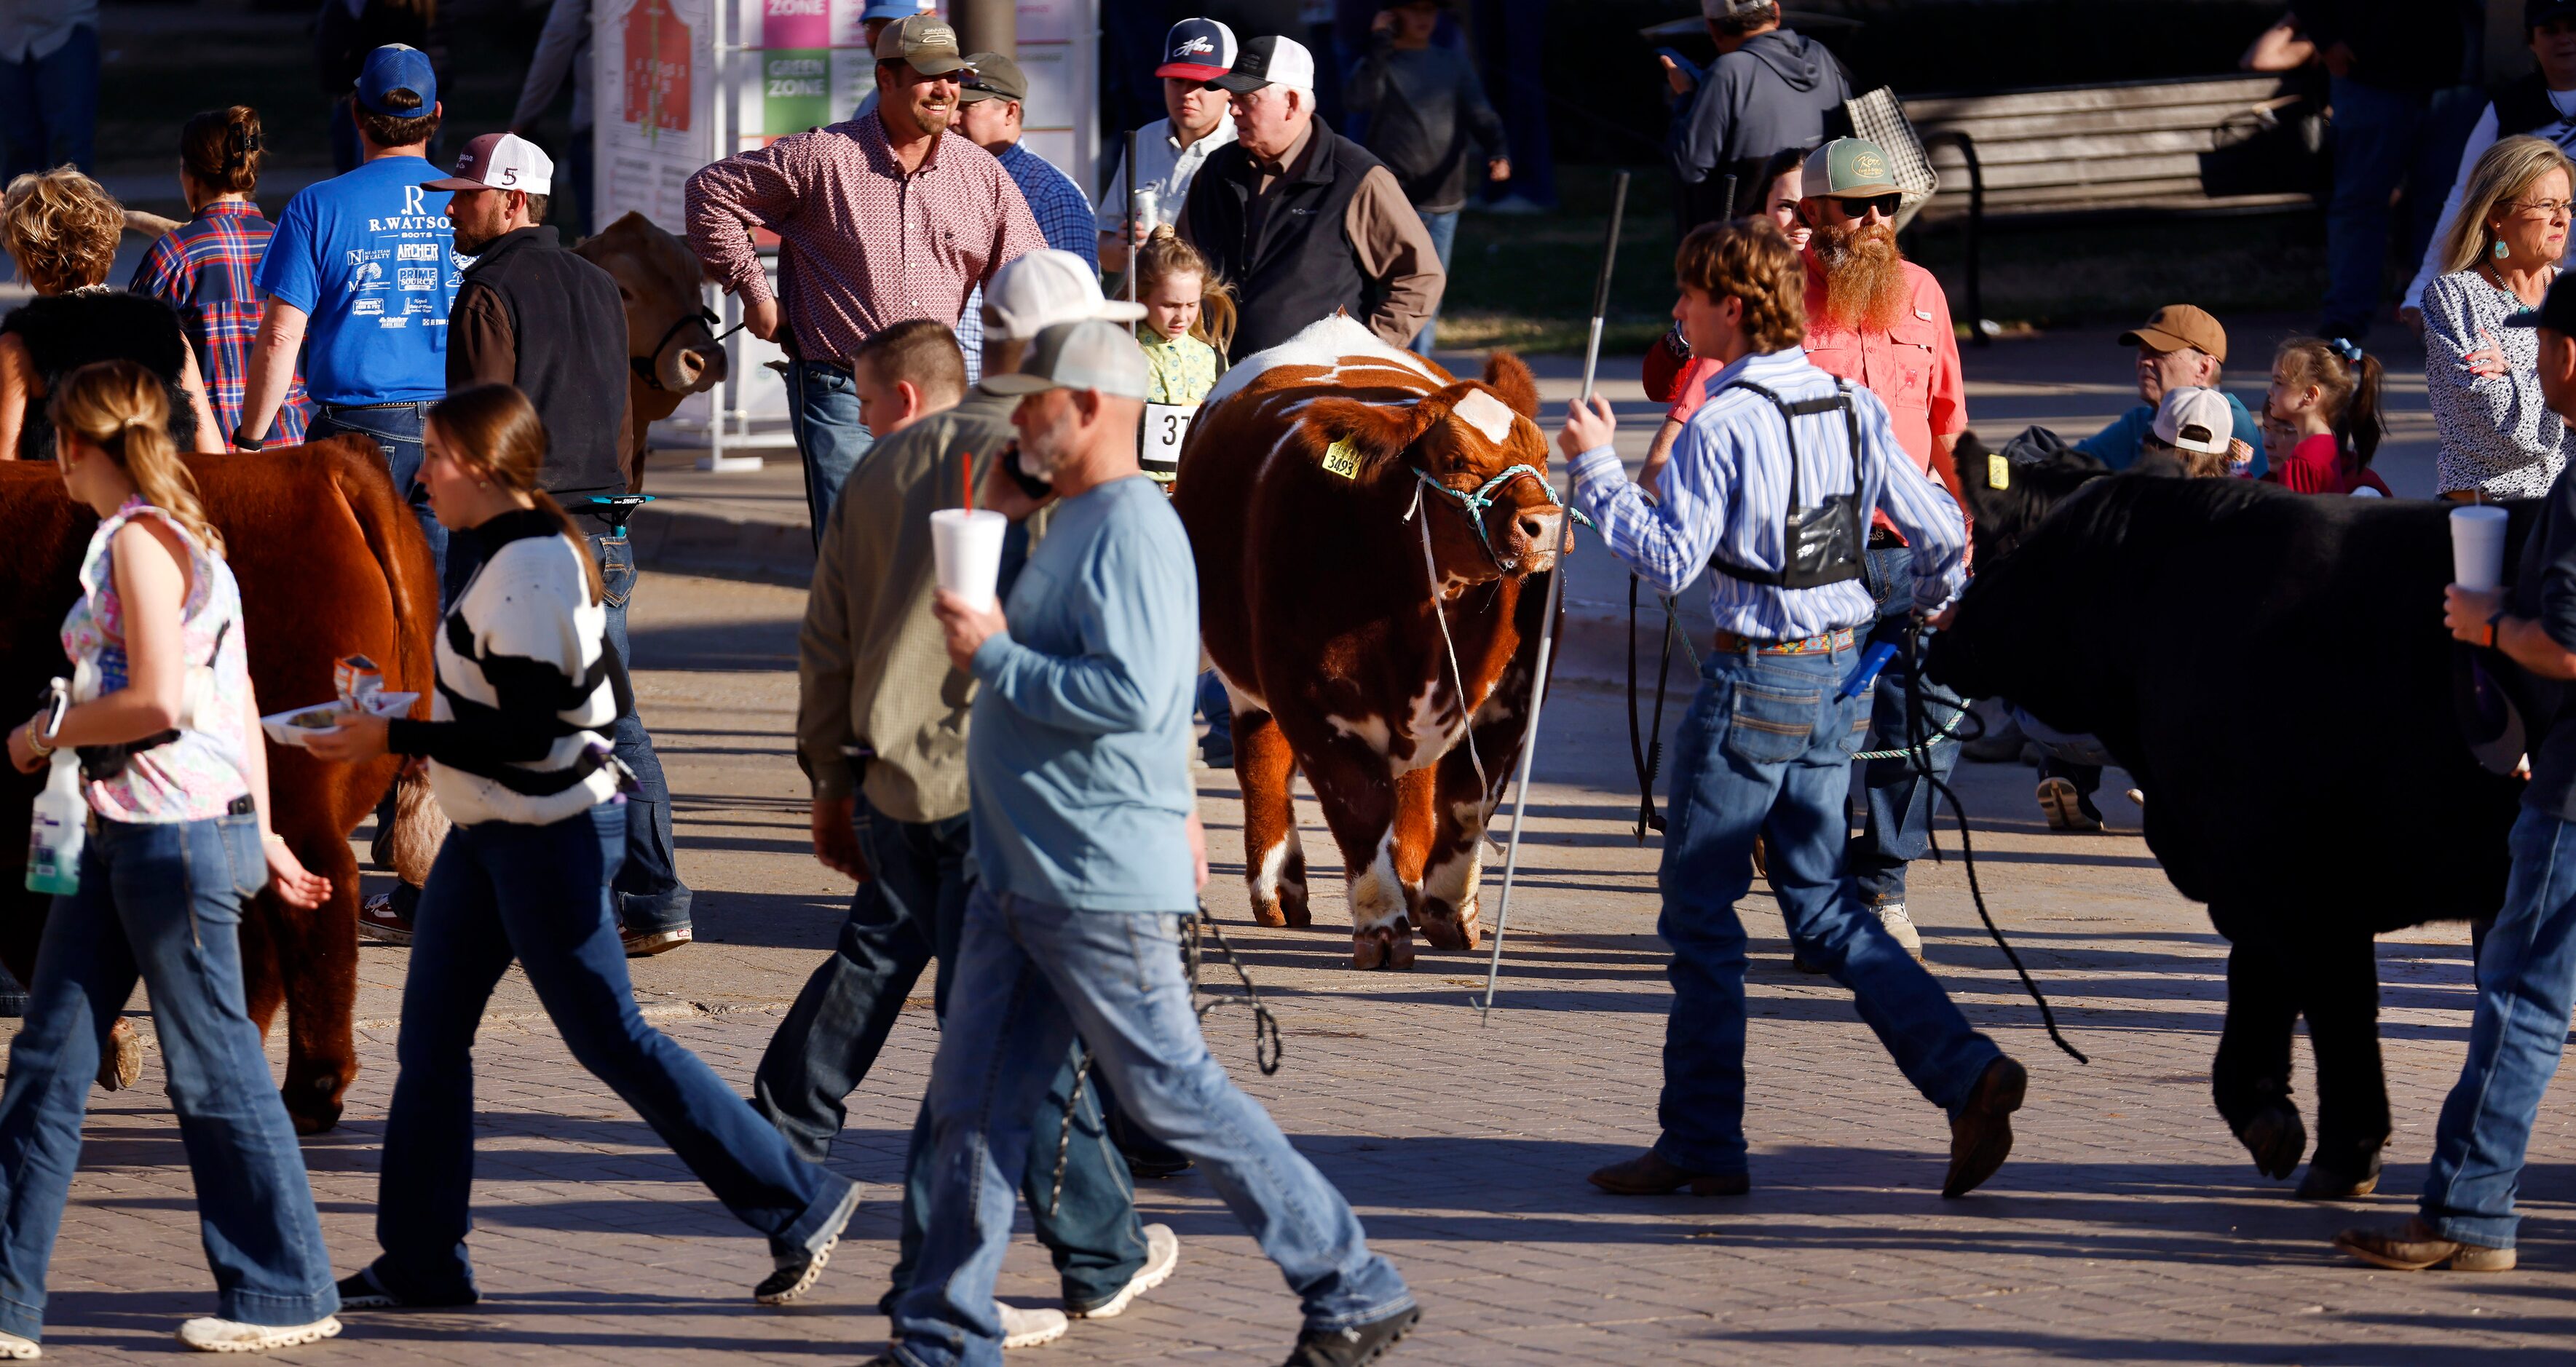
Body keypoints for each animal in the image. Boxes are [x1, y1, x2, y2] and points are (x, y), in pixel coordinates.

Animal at [1174, 317, 1566, 972]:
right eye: (1456, 461)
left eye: (1541, 456)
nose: (1545, 526)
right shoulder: (1311, 698)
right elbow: (1358, 806)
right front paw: (1382, 927)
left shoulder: (1512, 700)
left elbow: (1467, 802)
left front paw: (1448, 910)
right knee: (1261, 761)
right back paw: (1278, 889)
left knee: (1408, 786)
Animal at [1937, 468, 2514, 1200]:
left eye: (2004, 546)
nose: (1943, 625)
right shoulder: (2260, 883)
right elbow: (2258, 992)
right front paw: (2271, 1119)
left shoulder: (2289, 878)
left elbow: (2337, 1009)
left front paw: (2342, 1155)